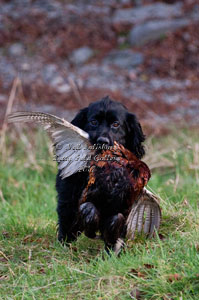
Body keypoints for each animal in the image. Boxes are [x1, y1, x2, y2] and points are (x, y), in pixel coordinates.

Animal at [56, 96, 145, 248]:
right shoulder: (68, 193)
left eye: (116, 124)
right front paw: (65, 245)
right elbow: (67, 219)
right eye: (93, 122)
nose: (102, 141)